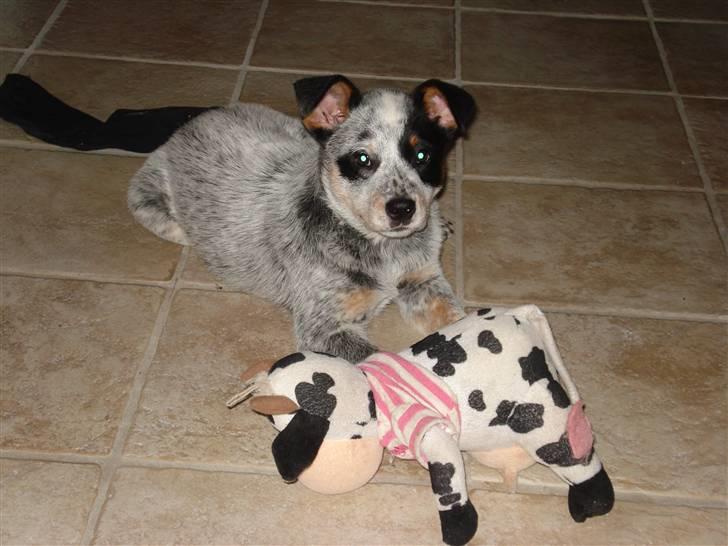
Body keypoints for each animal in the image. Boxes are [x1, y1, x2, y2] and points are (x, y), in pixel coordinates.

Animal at [127, 73, 474, 362]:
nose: (402, 208)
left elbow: (459, 319)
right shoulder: (324, 328)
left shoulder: (424, 280)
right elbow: (385, 361)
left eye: (422, 155)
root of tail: (198, 118)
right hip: (149, 200)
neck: (383, 250)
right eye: (362, 158)